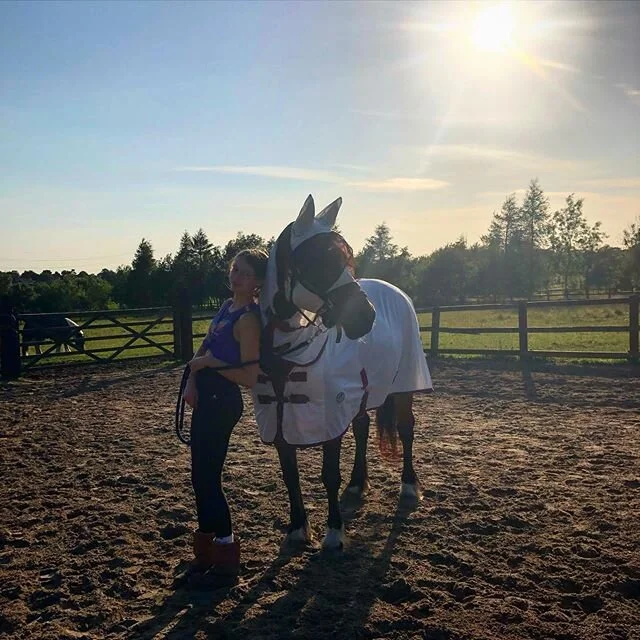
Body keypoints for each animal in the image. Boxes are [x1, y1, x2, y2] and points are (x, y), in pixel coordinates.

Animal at [252, 194, 433, 550]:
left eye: (346, 258)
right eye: (317, 260)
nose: (366, 316)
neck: (290, 355)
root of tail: (397, 292)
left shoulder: (329, 416)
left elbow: (328, 476)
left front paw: (334, 533)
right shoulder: (279, 422)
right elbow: (290, 474)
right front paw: (297, 528)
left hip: (404, 385)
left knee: (406, 429)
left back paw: (408, 487)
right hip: (361, 392)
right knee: (362, 428)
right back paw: (357, 485)